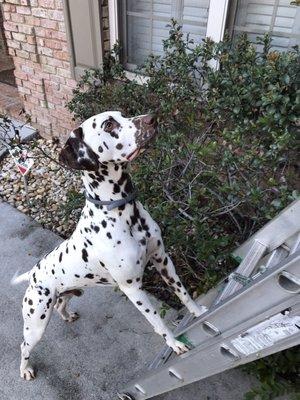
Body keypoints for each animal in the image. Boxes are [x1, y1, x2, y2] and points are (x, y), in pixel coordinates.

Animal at [12, 111, 207, 380]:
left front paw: (198, 313)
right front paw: (174, 343)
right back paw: (25, 369)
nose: (152, 118)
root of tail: (33, 273)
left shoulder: (163, 260)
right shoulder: (133, 288)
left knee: (62, 302)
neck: (124, 212)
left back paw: (67, 315)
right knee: (24, 345)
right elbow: (157, 322)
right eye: (108, 124)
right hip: (36, 321)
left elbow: (184, 294)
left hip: (70, 292)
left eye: (123, 114)